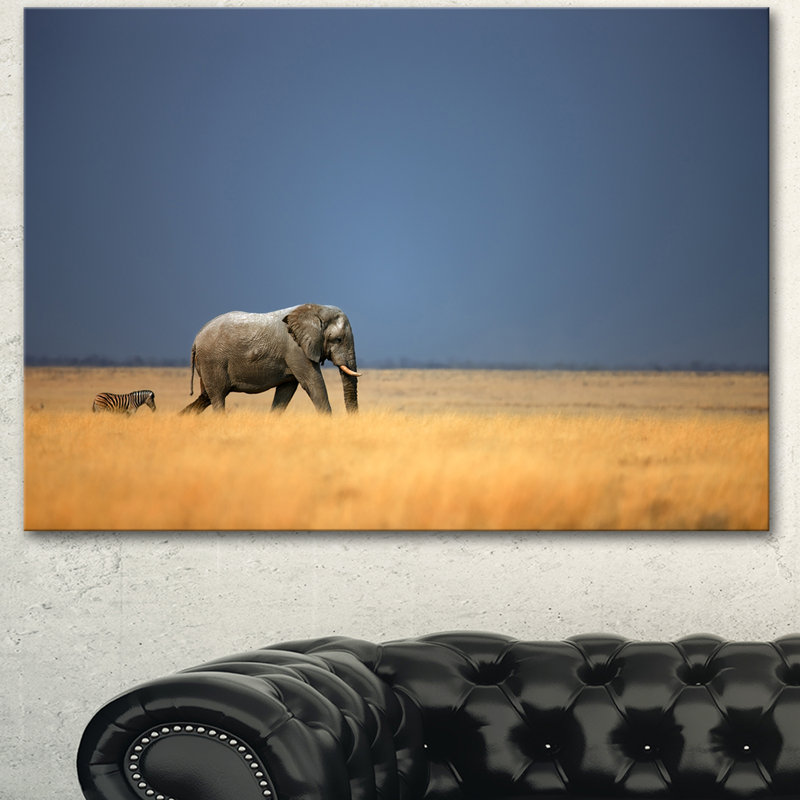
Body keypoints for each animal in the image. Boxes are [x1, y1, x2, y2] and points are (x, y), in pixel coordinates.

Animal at [180, 304, 361, 415]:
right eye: (338, 339)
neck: (315, 309)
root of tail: (196, 340)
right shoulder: (296, 350)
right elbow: (313, 383)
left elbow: (286, 390)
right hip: (212, 361)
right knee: (217, 397)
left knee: (206, 397)